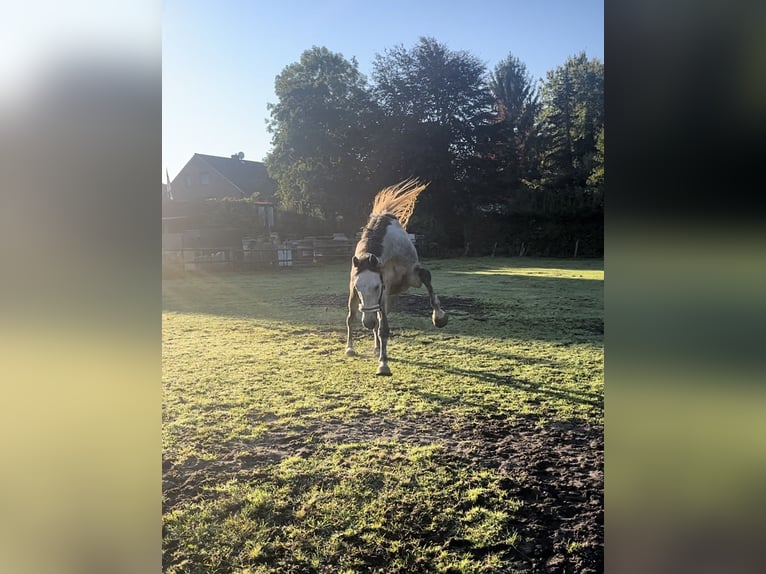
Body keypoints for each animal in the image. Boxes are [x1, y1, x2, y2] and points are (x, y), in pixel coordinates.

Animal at [345, 179, 448, 376]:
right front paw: (383, 365)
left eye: (376, 286)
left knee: (377, 322)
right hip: (359, 300)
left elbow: (428, 279)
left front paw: (439, 318)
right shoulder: (380, 293)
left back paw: (377, 347)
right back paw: (350, 348)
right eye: (359, 287)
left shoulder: (411, 277)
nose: (367, 322)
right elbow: (383, 328)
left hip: (391, 298)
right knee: (353, 319)